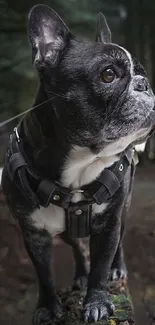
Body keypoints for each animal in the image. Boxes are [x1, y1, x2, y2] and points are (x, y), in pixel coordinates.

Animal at [1, 3, 155, 322]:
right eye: (108, 74)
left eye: (142, 74)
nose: (144, 84)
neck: (81, 165)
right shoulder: (33, 234)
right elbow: (44, 274)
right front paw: (48, 307)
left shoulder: (109, 223)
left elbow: (101, 265)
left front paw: (97, 302)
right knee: (75, 246)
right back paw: (80, 275)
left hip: (125, 206)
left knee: (118, 244)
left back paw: (116, 269)